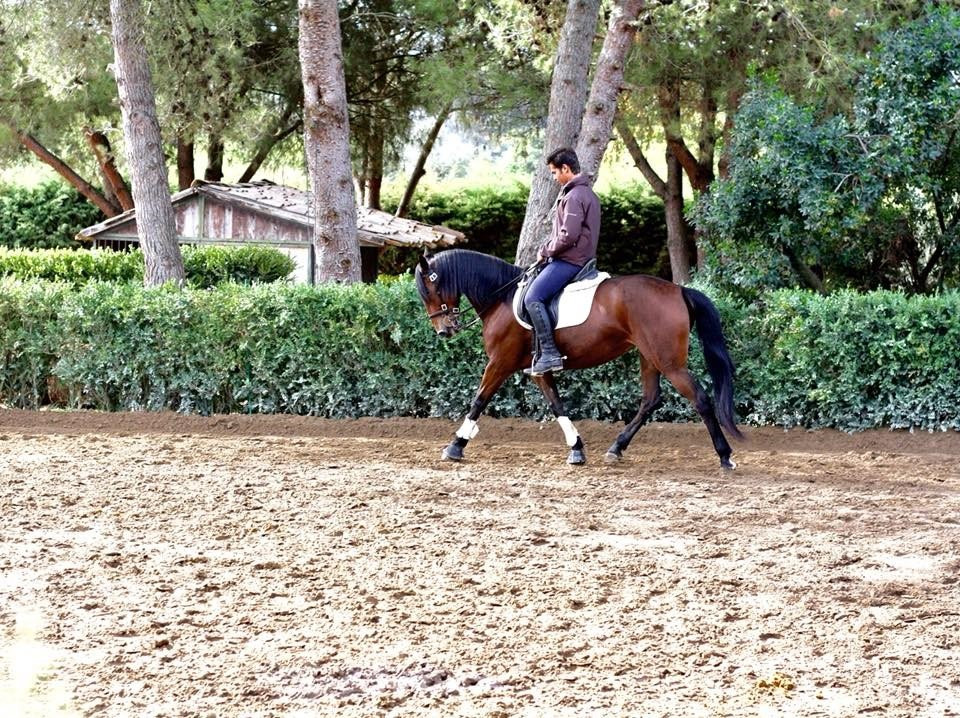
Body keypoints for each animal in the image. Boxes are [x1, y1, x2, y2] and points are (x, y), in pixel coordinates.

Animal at [414, 249, 744, 468]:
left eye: (431, 288)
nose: (444, 331)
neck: (502, 299)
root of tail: (678, 289)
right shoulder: (538, 368)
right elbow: (556, 404)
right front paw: (576, 448)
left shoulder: (500, 361)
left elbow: (479, 400)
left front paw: (456, 445)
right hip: (649, 356)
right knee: (650, 400)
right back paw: (616, 448)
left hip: (669, 361)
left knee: (700, 398)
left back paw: (725, 456)